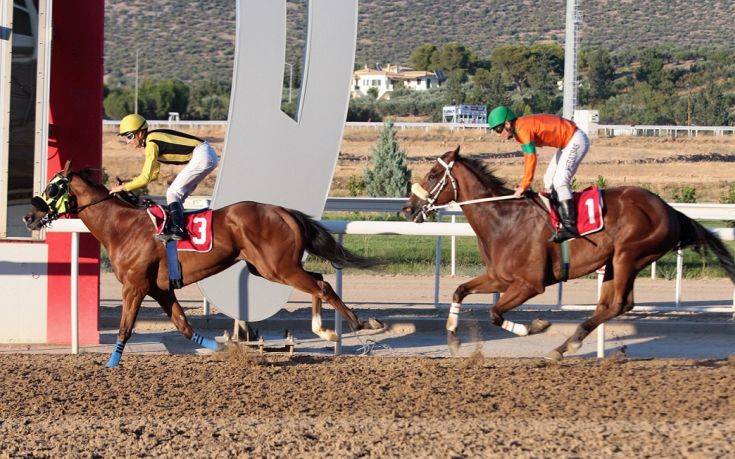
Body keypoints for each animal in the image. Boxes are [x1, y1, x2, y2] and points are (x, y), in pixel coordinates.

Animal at [25, 164, 382, 368]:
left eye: (54, 187)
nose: (29, 216)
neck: (122, 226)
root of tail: (284, 211)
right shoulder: (161, 289)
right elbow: (184, 327)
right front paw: (224, 347)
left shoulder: (135, 286)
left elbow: (126, 327)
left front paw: (111, 364)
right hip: (270, 267)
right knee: (319, 280)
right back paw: (326, 329)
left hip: (277, 267)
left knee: (322, 285)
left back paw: (360, 324)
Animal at [402, 146, 735, 360]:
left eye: (433, 174)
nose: (408, 208)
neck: (503, 219)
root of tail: (669, 210)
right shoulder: (498, 278)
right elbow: (459, 290)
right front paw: (453, 338)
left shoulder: (530, 284)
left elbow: (495, 313)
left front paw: (536, 326)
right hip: (613, 263)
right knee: (610, 305)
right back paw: (564, 347)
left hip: (627, 256)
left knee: (619, 304)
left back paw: (564, 347)